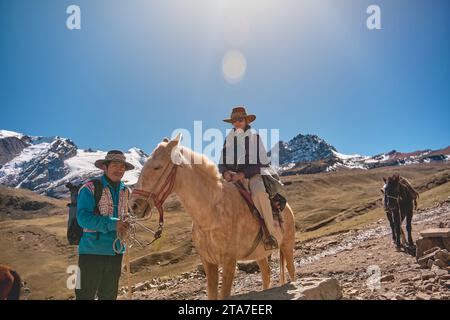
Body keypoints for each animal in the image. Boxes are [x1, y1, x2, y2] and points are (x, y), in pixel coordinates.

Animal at [129, 134, 296, 298]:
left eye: (157, 167)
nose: (133, 206)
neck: (210, 215)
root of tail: (286, 207)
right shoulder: (208, 262)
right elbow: (211, 293)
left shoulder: (229, 262)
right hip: (260, 255)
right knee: (266, 274)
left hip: (287, 246)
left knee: (291, 269)